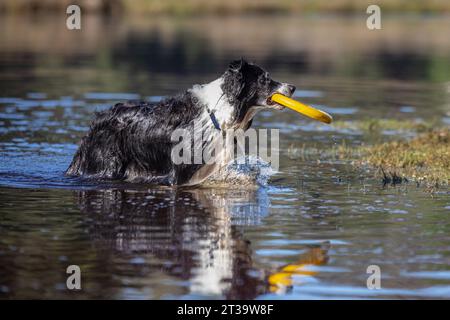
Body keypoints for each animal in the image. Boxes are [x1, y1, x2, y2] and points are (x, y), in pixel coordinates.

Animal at [66, 58, 296, 186]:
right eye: (265, 79)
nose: (292, 87)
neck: (220, 113)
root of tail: (94, 124)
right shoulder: (181, 172)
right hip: (106, 164)